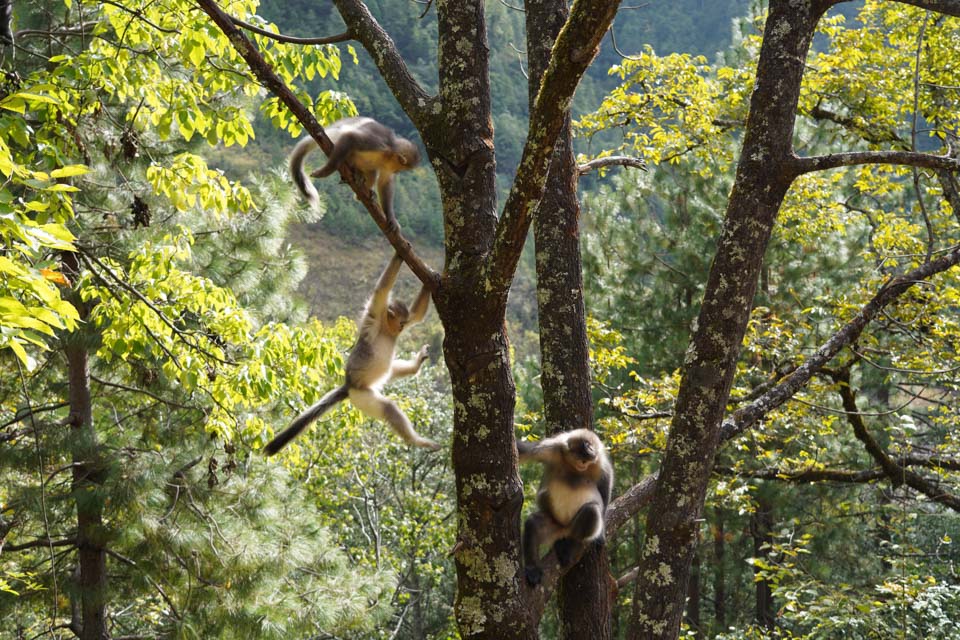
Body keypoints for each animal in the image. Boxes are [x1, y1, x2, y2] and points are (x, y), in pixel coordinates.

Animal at [266, 252, 438, 452]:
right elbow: (382, 290)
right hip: (362, 396)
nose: (401, 328)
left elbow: (416, 315)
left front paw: (429, 278)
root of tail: (348, 385)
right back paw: (416, 441)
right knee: (388, 408)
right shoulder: (375, 313)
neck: (387, 329)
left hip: (379, 380)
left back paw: (415, 366)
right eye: (401, 323)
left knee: (394, 370)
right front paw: (399, 252)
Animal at [286, 115, 418, 230]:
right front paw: (326, 170)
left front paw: (391, 217)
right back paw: (353, 170)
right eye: (399, 169)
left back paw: (365, 189)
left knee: (372, 172)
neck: (388, 153)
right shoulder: (378, 144)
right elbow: (351, 137)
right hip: (338, 139)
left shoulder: (387, 165)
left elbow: (385, 182)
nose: (397, 172)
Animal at [516, 430, 616, 584]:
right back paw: (533, 569)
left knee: (591, 511)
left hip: (572, 527)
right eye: (581, 460)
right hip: (554, 525)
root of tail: (563, 529)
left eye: (586, 461)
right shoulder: (552, 448)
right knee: (533, 523)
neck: (573, 467)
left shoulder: (600, 463)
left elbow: (605, 488)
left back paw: (568, 545)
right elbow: (524, 451)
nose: (583, 464)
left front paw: (601, 535)